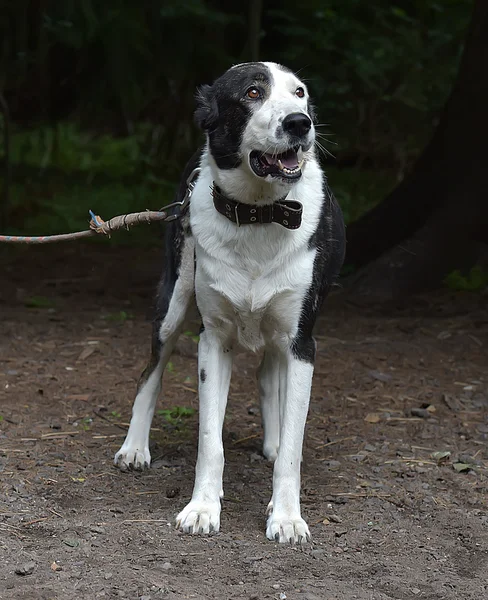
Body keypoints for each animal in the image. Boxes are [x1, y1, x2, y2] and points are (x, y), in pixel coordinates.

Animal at [114, 62, 346, 544]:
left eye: (300, 93)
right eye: (253, 93)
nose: (300, 123)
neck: (259, 213)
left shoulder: (302, 344)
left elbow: (293, 447)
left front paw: (286, 516)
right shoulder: (213, 340)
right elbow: (210, 441)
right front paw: (202, 508)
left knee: (267, 374)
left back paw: (271, 445)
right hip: (173, 301)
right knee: (151, 371)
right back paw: (135, 447)